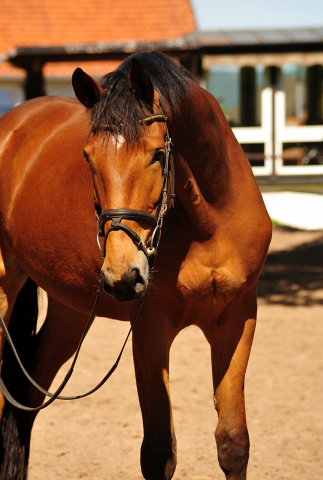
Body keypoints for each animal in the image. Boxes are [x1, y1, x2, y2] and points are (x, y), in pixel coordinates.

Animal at [0, 50, 272, 478]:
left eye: (158, 154)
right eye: (88, 157)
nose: (123, 276)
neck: (210, 222)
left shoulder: (237, 319)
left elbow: (233, 443)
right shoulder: (150, 330)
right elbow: (158, 453)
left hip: (70, 311)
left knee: (26, 399)